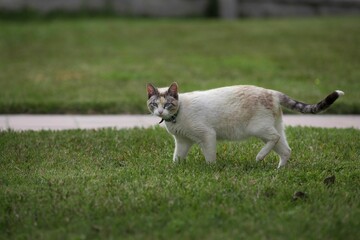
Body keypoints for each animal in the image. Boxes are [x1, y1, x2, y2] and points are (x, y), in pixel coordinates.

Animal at [146, 83, 344, 168]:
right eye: (154, 104)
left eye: (168, 104)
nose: (160, 112)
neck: (177, 116)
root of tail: (272, 92)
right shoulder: (183, 142)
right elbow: (177, 158)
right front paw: (175, 168)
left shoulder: (207, 135)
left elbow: (210, 157)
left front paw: (211, 169)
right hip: (274, 127)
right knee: (286, 150)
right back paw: (279, 170)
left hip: (259, 129)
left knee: (274, 138)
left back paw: (260, 157)